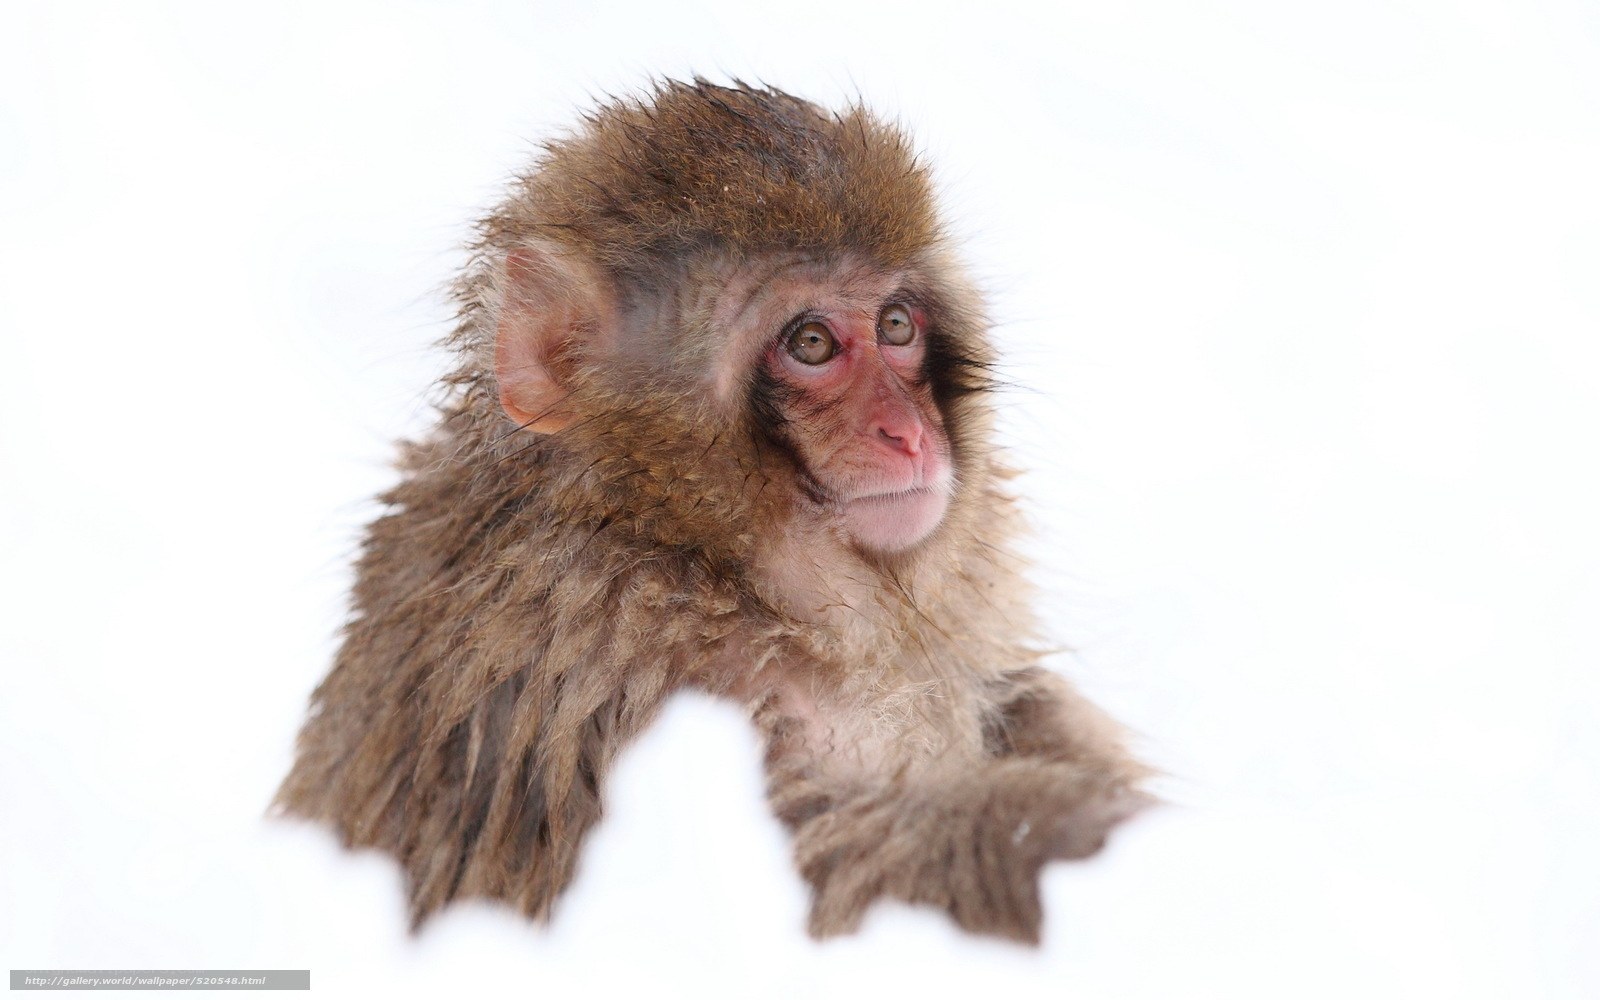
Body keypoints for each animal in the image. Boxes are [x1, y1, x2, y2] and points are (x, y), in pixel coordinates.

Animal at [276, 79, 1152, 944]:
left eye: (896, 326)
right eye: (810, 343)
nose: (908, 433)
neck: (693, 551)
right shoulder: (610, 666)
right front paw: (1080, 830)